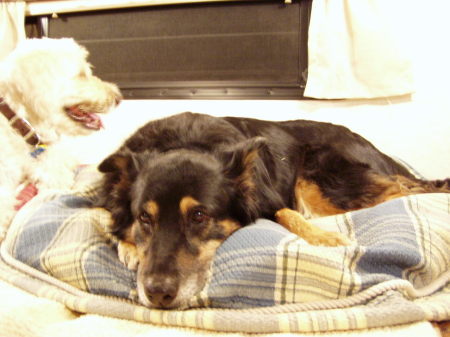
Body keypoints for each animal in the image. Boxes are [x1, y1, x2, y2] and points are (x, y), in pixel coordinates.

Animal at [93, 111, 448, 308]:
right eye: (144, 217)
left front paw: (325, 240)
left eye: (199, 216)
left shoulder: (270, 196)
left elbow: (285, 213)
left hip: (322, 175)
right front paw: (130, 248)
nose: (157, 294)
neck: (185, 144)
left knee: (401, 189)